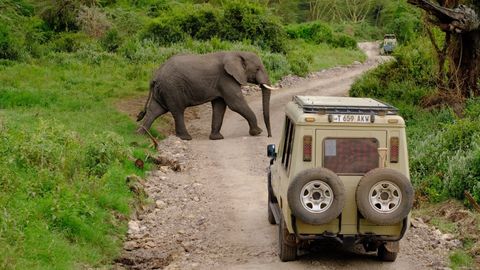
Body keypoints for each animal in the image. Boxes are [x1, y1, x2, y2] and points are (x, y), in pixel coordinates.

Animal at [136, 50, 278, 140]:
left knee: (155, 110)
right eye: (258, 69)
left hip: (163, 90)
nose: (269, 136)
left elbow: (220, 106)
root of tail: (155, 76)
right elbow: (235, 104)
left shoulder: (221, 82)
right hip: (172, 88)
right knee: (177, 111)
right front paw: (257, 132)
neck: (237, 52)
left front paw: (217, 138)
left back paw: (140, 135)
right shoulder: (226, 78)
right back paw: (186, 138)